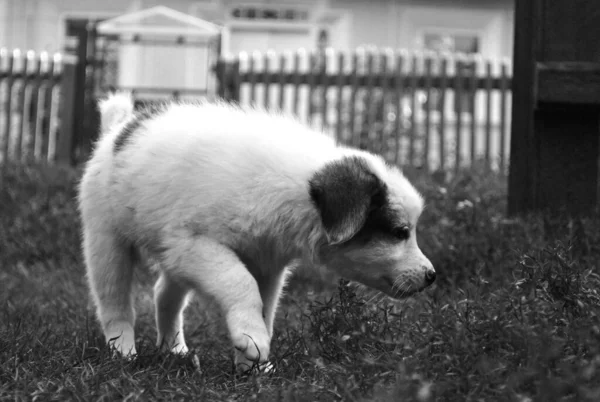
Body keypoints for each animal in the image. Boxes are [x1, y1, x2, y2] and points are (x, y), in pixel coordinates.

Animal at [78, 92, 436, 372]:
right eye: (400, 232)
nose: (431, 276)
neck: (295, 190)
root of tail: (119, 129)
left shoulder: (266, 264)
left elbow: (264, 308)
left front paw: (254, 366)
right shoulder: (198, 244)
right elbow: (240, 283)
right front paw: (252, 342)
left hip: (171, 256)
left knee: (164, 293)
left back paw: (174, 350)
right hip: (106, 240)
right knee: (114, 302)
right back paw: (123, 352)